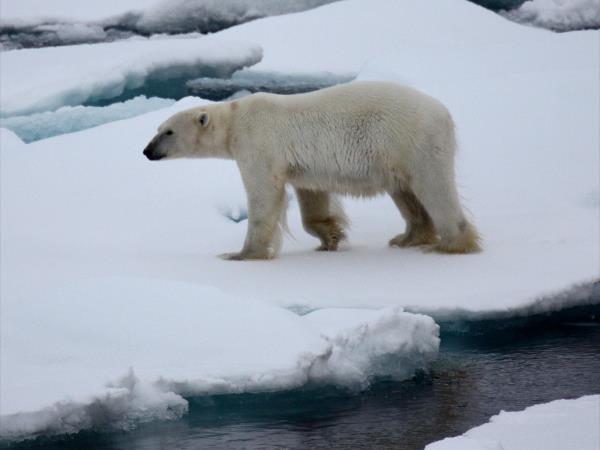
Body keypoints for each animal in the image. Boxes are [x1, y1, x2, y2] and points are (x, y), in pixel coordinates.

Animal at [143, 81, 480, 260]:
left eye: (168, 131)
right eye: (157, 128)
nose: (147, 151)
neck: (235, 120)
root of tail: (445, 113)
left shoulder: (258, 144)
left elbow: (263, 196)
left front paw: (241, 254)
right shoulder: (303, 166)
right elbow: (312, 196)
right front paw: (329, 237)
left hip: (413, 141)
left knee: (433, 188)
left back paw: (451, 245)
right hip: (397, 155)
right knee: (405, 192)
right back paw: (407, 237)